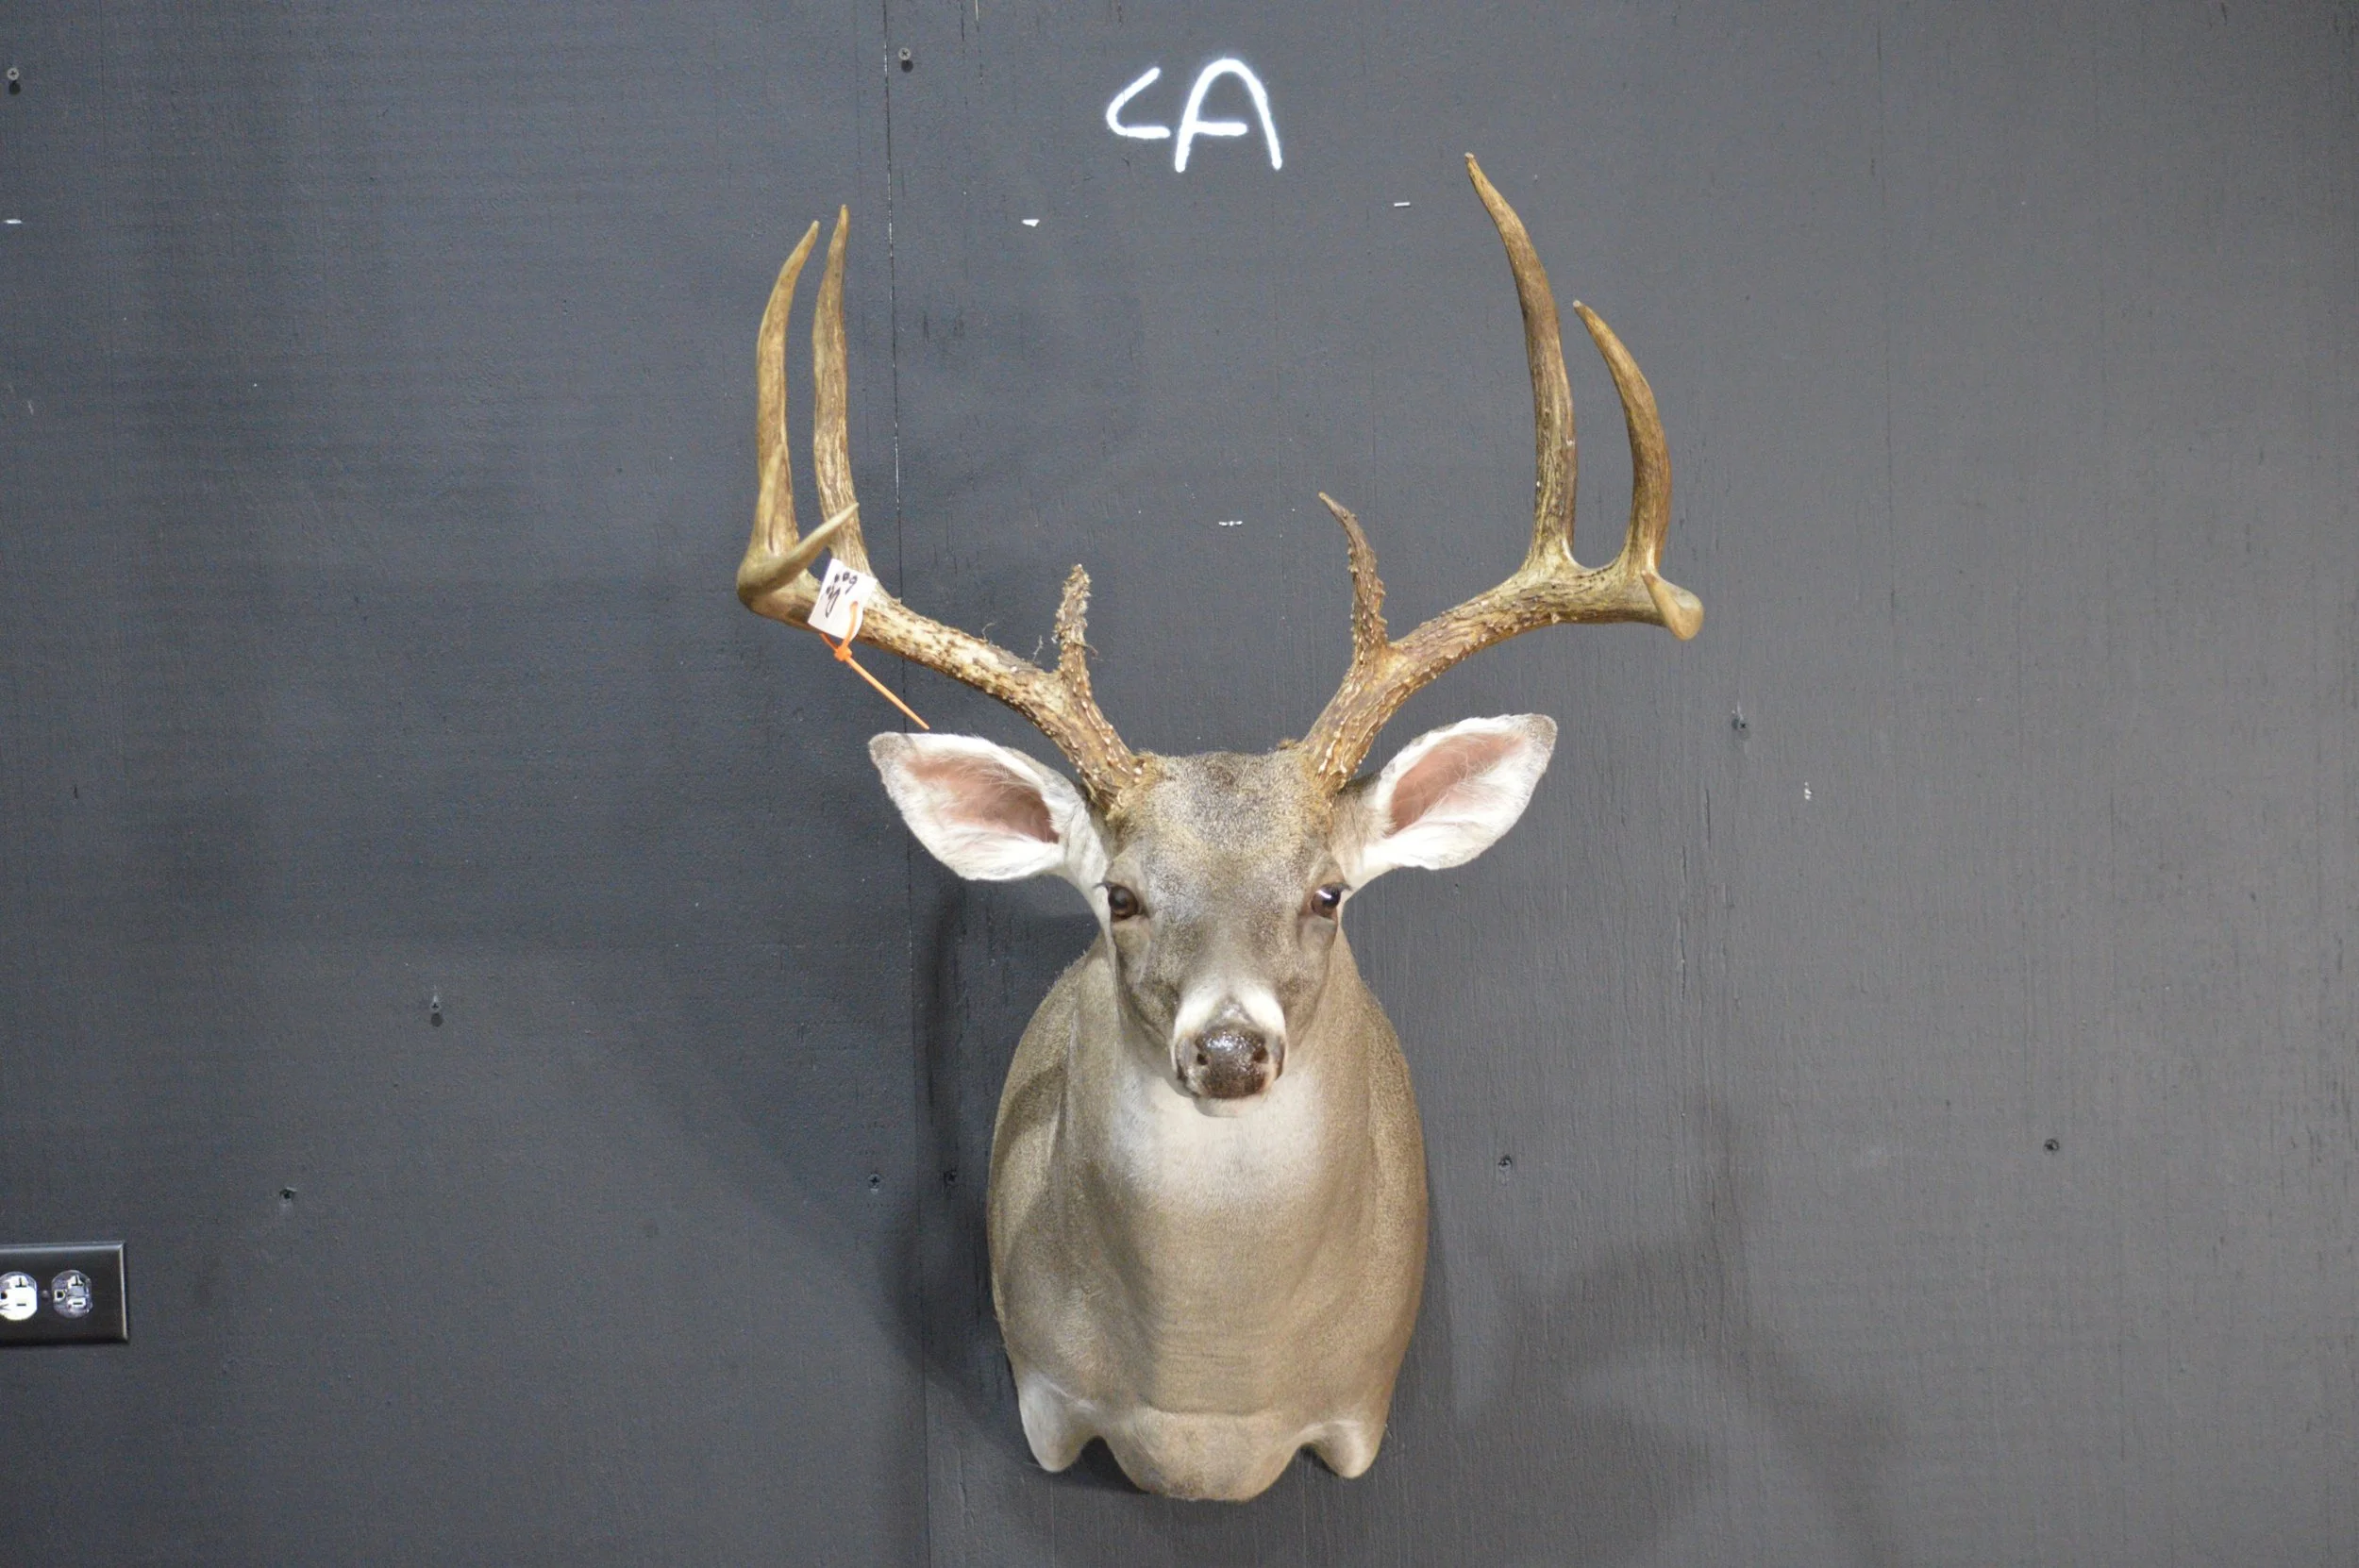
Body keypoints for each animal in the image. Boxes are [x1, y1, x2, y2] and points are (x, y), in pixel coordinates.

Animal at [735, 156, 1701, 1502]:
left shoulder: (1356, 1410)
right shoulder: (1046, 1399)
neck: (1209, 1407)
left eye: (1327, 893)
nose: (1231, 1048)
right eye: (1120, 897)